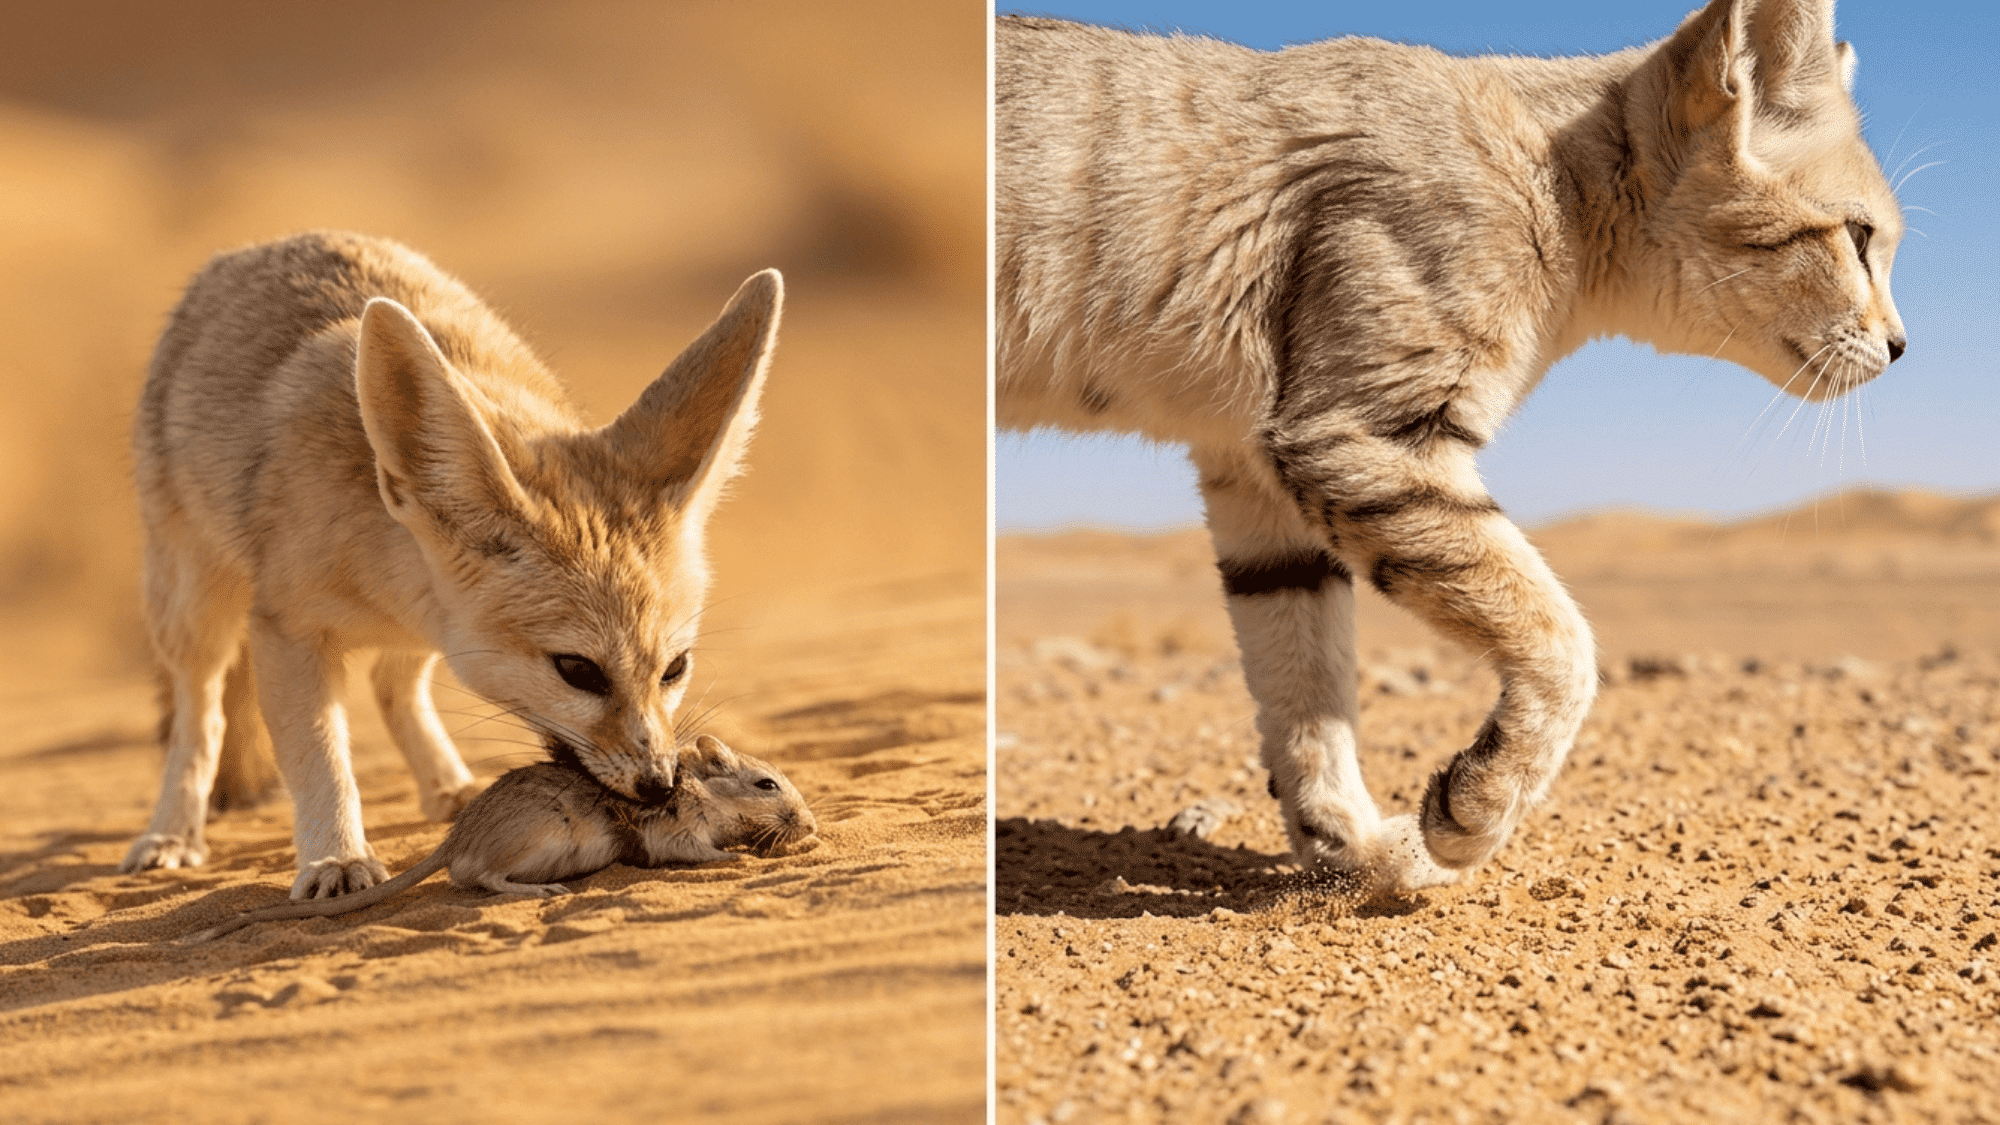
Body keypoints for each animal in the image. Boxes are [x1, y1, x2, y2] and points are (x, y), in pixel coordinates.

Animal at [121, 231, 780, 899]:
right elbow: (320, 757)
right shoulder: (287, 629)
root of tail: (268, 245)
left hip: (423, 640)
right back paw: (173, 830)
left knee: (393, 688)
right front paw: (336, 858)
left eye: (676, 668)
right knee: (200, 712)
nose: (660, 784)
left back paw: (448, 785)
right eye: (577, 670)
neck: (382, 551)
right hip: (194, 608)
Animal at [996, 0, 1905, 892]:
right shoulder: (1361, 432)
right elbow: (1563, 639)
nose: (1901, 346)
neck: (1557, 181)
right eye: (1859, 237)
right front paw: (1476, 811)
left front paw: (1348, 842)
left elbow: (1306, 675)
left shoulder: (1256, 468)